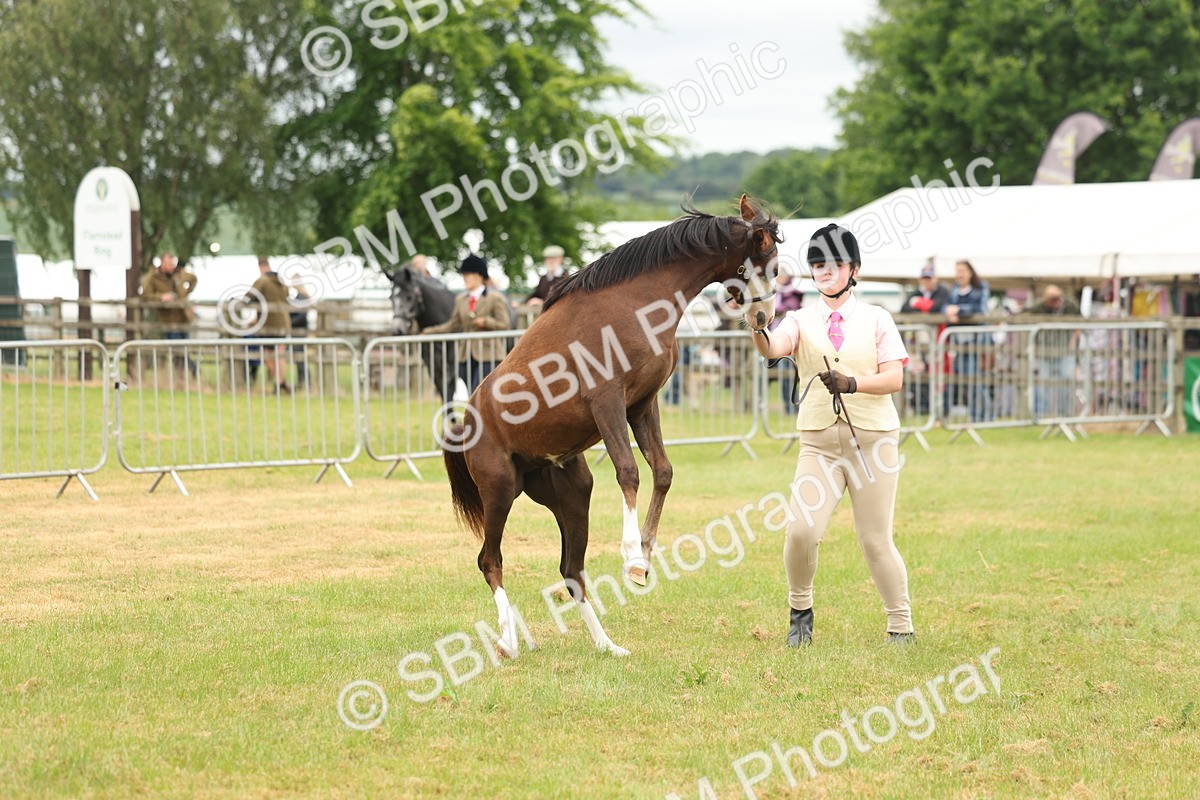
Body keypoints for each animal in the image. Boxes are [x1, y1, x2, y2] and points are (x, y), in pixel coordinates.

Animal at [442, 196, 781, 658]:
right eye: (765, 264)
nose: (764, 317)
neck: (634, 303)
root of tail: (467, 420)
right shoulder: (608, 404)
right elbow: (629, 472)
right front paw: (633, 559)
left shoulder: (642, 405)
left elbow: (662, 472)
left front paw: (646, 555)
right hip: (499, 490)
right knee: (489, 560)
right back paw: (508, 640)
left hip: (571, 494)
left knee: (571, 569)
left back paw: (606, 644)